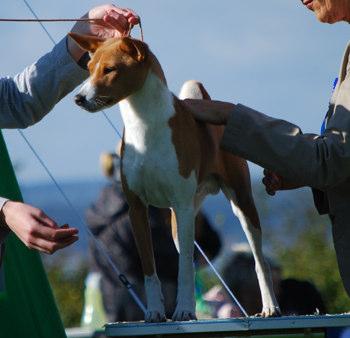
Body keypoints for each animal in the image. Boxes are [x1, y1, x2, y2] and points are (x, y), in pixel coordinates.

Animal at [69, 33, 280, 322]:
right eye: (89, 69)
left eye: (110, 69)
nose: (79, 98)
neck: (145, 127)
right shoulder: (137, 208)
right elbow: (151, 270)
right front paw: (155, 312)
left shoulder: (180, 205)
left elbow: (183, 271)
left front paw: (183, 310)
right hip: (181, 222)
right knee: (188, 261)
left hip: (239, 205)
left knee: (259, 261)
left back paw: (269, 306)